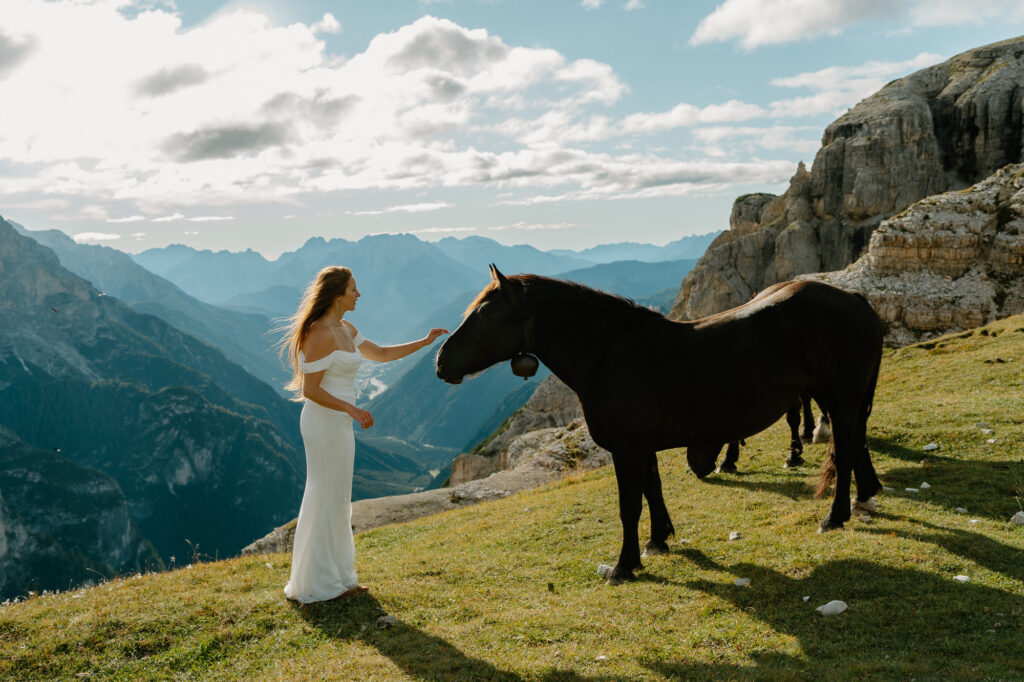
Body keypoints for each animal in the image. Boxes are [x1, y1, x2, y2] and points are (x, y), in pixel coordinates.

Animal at [436, 266, 884, 585]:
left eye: (484, 313)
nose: (441, 362)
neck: (606, 354)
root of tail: (855, 298)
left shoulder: (626, 449)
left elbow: (629, 505)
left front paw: (625, 564)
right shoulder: (642, 447)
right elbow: (653, 490)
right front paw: (658, 540)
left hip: (840, 402)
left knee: (846, 452)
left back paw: (835, 515)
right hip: (847, 404)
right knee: (856, 445)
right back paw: (865, 495)